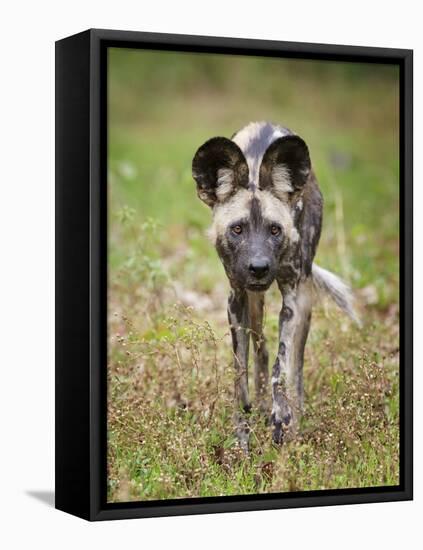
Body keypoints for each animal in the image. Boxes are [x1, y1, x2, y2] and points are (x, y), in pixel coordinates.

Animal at [194, 122, 360, 452]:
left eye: (274, 230)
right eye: (237, 229)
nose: (259, 267)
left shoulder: (293, 297)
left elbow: (280, 368)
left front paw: (281, 417)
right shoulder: (236, 297)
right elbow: (240, 370)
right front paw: (242, 430)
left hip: (303, 300)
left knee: (295, 363)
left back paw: (294, 418)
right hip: (254, 303)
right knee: (261, 348)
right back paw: (259, 407)